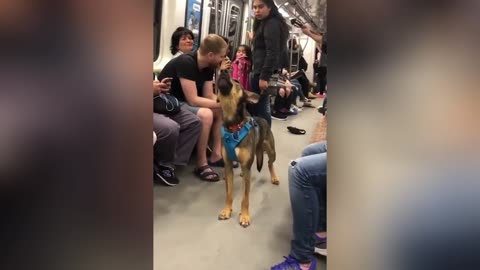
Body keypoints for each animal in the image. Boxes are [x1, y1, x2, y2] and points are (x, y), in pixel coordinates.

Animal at [217, 70, 280, 227]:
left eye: (237, 81)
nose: (223, 71)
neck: (233, 126)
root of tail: (262, 119)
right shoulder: (228, 166)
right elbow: (229, 193)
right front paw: (227, 210)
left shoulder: (246, 167)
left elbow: (245, 198)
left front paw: (245, 216)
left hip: (271, 151)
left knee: (270, 163)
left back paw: (274, 177)